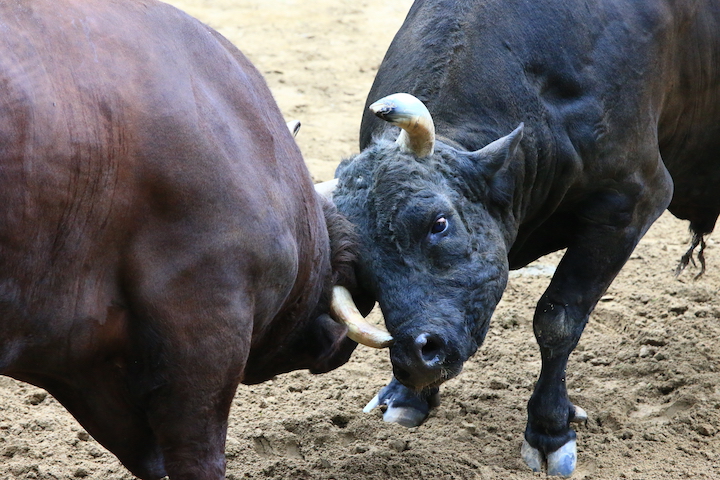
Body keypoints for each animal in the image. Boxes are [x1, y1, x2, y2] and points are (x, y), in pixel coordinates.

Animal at [332, 0, 720, 476]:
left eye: (438, 223)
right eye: (360, 264)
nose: (415, 358)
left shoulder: (632, 201)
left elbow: (557, 320)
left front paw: (550, 430)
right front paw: (405, 398)